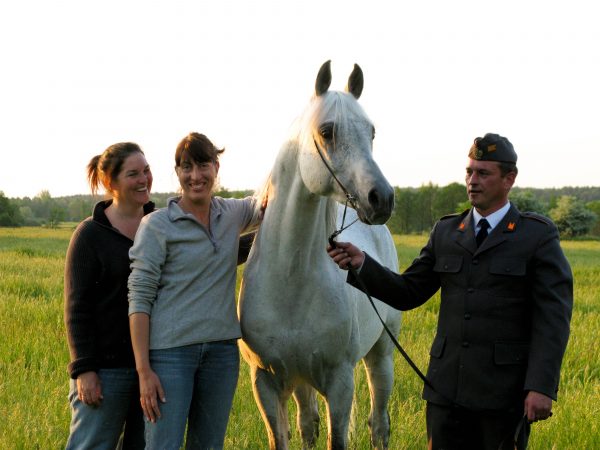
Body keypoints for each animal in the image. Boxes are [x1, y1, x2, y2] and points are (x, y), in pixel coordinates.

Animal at [237, 60, 400, 450]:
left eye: (372, 132)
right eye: (327, 131)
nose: (382, 199)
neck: (290, 280)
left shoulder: (340, 383)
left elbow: (336, 439)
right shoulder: (266, 383)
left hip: (381, 355)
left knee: (379, 423)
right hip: (300, 381)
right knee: (307, 424)